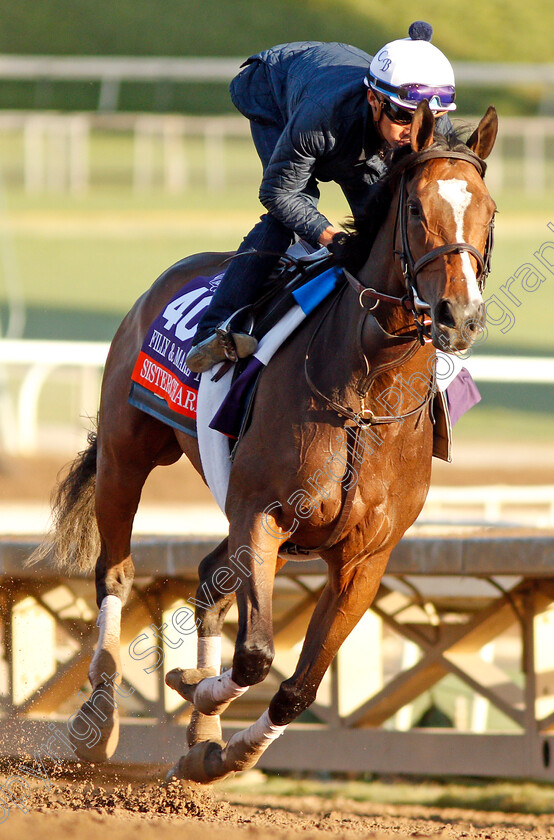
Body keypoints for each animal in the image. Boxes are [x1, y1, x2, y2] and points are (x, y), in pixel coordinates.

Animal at [31, 103, 496, 780]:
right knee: (115, 570)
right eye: (415, 208)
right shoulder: (261, 513)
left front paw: (224, 747)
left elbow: (299, 685)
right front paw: (195, 690)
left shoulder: (366, 557)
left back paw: (200, 732)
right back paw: (100, 716)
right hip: (127, 453)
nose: (458, 316)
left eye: (489, 211)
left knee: (205, 580)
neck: (365, 392)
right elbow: (254, 655)